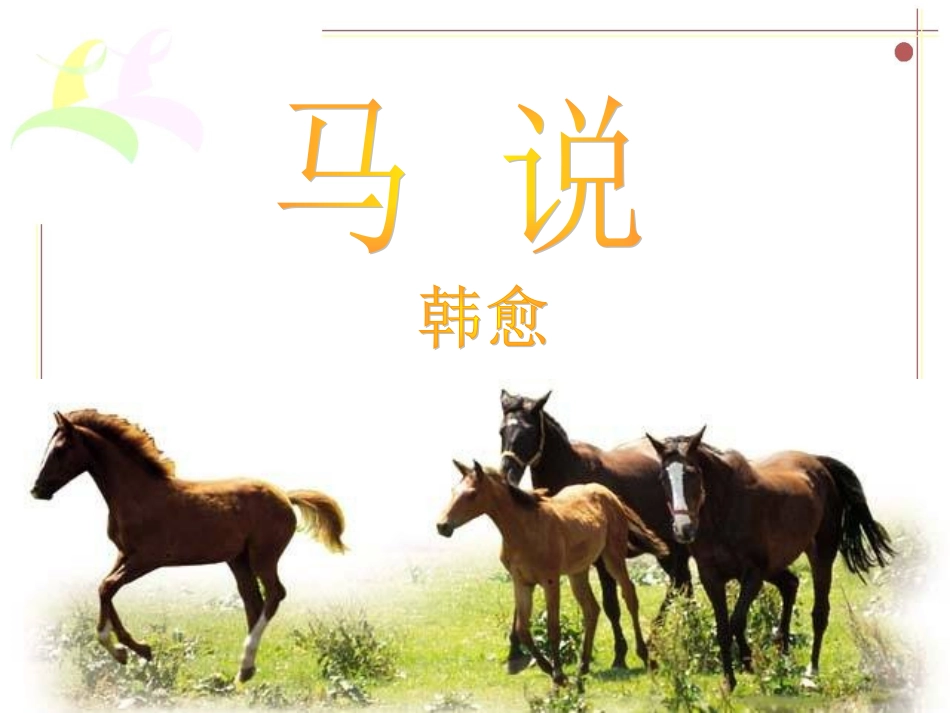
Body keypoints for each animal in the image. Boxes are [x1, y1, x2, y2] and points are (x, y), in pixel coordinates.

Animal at [30, 410, 347, 684]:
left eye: (60, 449)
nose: (37, 489)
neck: (138, 495)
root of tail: (285, 496)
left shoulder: (148, 557)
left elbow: (107, 587)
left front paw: (131, 650)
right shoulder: (124, 554)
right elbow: (104, 588)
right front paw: (128, 650)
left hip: (263, 556)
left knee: (275, 594)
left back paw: (245, 663)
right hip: (238, 560)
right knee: (253, 600)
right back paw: (245, 671)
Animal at [436, 460, 668, 684]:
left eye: (472, 494)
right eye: (453, 490)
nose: (442, 526)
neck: (524, 530)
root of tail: (609, 495)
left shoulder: (551, 580)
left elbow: (553, 628)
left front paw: (558, 675)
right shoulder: (521, 582)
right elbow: (523, 629)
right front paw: (547, 668)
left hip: (613, 558)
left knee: (629, 595)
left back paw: (645, 656)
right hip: (578, 572)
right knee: (591, 609)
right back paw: (583, 667)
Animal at [498, 390, 692, 672]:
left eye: (529, 431)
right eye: (502, 431)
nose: (507, 473)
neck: (570, 471)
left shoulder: (599, 559)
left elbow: (611, 605)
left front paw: (620, 654)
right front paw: (515, 650)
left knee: (679, 584)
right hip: (668, 551)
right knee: (683, 585)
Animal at [645, 427, 895, 690]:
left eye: (692, 473)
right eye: (662, 478)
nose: (683, 529)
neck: (725, 510)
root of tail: (819, 463)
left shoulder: (753, 574)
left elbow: (736, 621)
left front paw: (747, 664)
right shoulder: (711, 577)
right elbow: (723, 628)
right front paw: (729, 681)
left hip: (821, 556)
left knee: (819, 613)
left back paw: (810, 672)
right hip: (775, 566)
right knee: (790, 584)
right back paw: (782, 651)